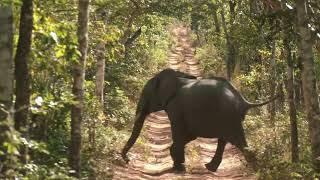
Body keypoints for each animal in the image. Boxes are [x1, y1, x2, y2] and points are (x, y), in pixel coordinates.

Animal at [121, 68, 276, 172]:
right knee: (224, 140)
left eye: (146, 94)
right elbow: (190, 135)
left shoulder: (175, 107)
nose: (127, 160)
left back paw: (257, 169)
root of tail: (243, 101)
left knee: (239, 142)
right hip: (228, 117)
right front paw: (178, 164)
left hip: (229, 117)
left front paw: (178, 167)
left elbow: (178, 132)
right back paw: (210, 167)